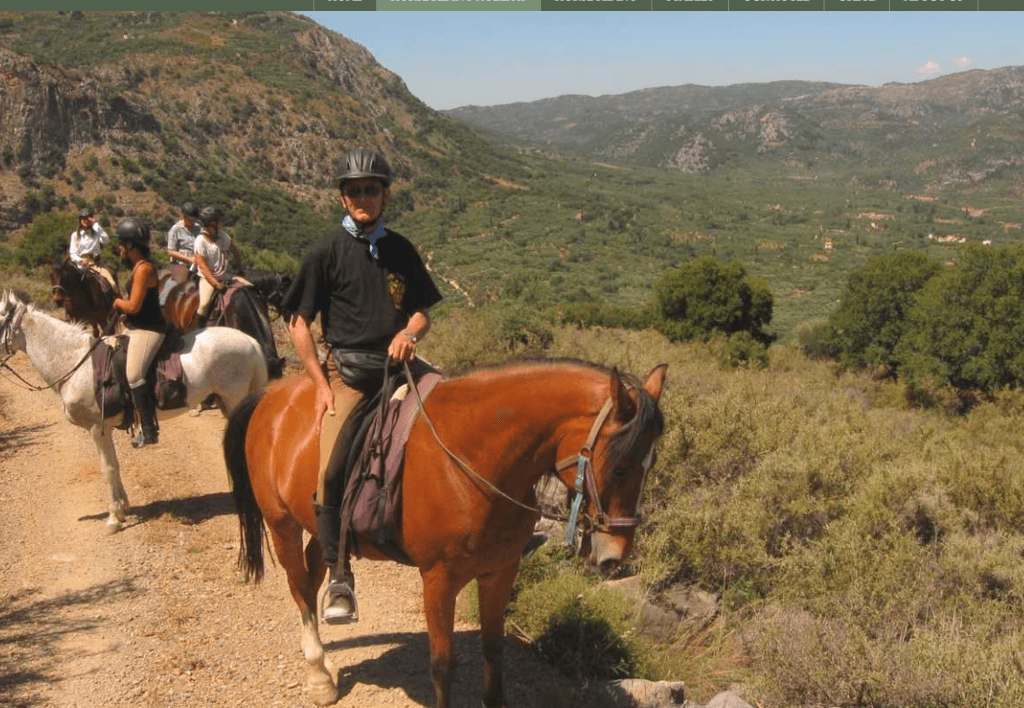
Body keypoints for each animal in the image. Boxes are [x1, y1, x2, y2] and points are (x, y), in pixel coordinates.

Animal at [0, 290, 270, 534]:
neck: (77, 362)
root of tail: (251, 342)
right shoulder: (104, 430)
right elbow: (115, 466)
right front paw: (123, 508)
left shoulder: (97, 429)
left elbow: (107, 468)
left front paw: (113, 519)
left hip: (234, 401)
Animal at [223, 360, 667, 707]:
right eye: (620, 468)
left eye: (650, 465)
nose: (614, 557)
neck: (473, 462)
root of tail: (272, 394)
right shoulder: (438, 579)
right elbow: (442, 667)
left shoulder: (500, 572)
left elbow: (493, 650)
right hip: (281, 523)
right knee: (299, 586)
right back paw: (319, 677)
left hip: (318, 523)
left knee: (317, 571)